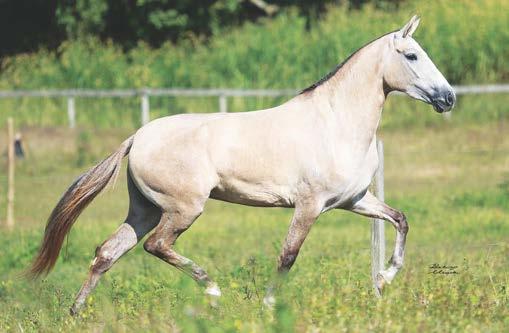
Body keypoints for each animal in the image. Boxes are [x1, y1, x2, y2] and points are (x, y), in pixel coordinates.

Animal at [29, 14, 454, 312]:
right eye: (413, 56)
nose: (448, 98)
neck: (336, 123)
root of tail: (138, 137)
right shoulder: (309, 205)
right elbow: (288, 256)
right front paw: (269, 306)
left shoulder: (354, 200)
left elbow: (400, 219)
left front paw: (384, 278)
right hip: (183, 208)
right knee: (156, 245)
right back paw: (213, 290)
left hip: (144, 210)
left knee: (107, 253)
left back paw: (77, 312)